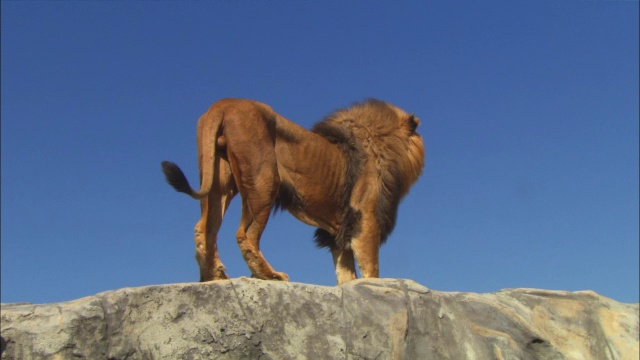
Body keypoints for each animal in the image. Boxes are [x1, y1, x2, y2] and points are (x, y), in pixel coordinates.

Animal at [162, 97, 424, 284]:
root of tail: (223, 104)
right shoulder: (366, 220)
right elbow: (371, 267)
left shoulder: (339, 231)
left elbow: (345, 271)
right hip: (264, 182)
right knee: (245, 234)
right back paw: (270, 275)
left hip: (219, 184)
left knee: (205, 229)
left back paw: (213, 275)